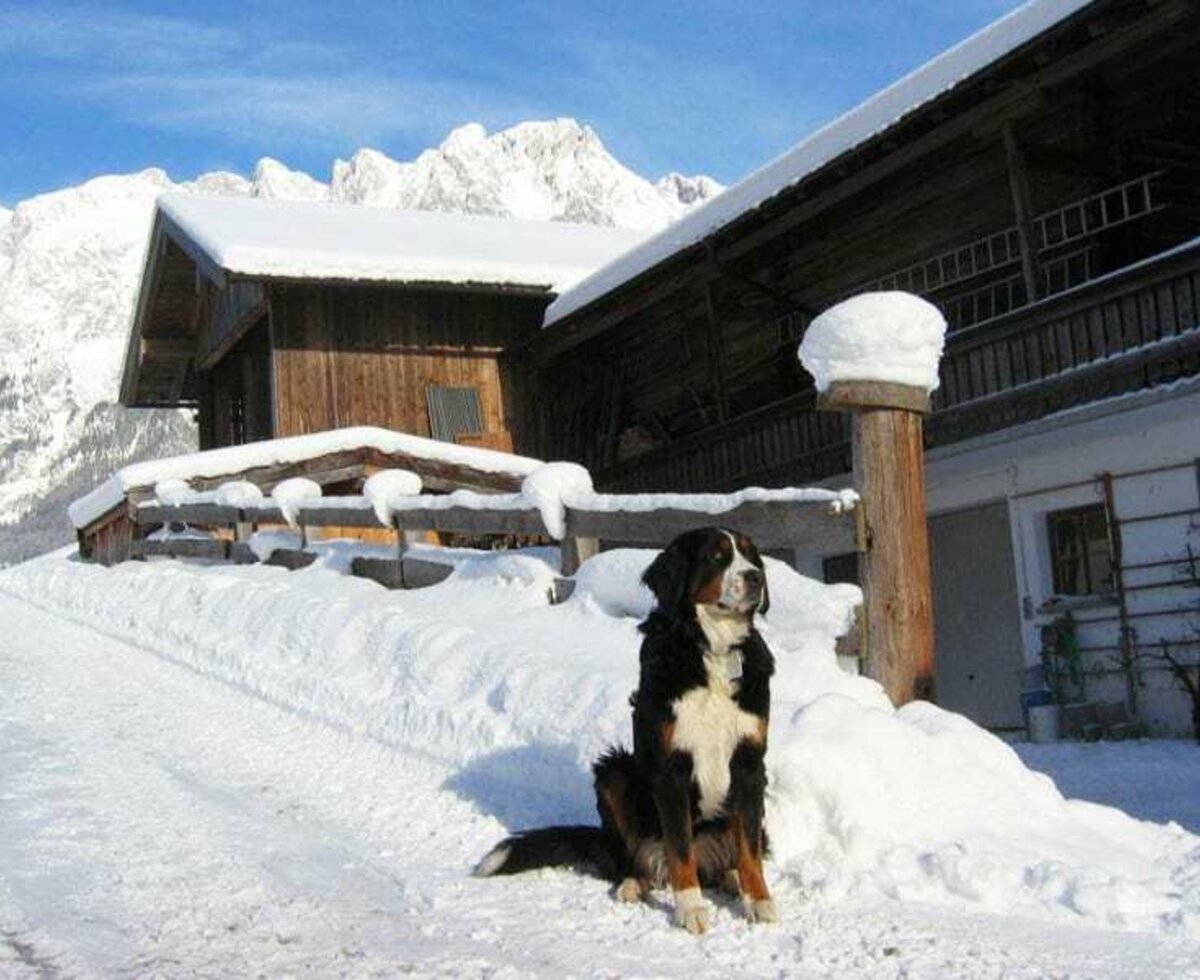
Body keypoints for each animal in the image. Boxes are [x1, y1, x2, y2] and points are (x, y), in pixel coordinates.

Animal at [472, 527, 772, 930]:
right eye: (717, 556)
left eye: (752, 555)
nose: (756, 578)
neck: (711, 650)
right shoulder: (670, 770)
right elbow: (680, 847)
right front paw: (691, 909)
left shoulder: (750, 764)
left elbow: (749, 846)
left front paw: (760, 901)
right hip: (614, 772)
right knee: (634, 858)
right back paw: (633, 883)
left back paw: (730, 877)